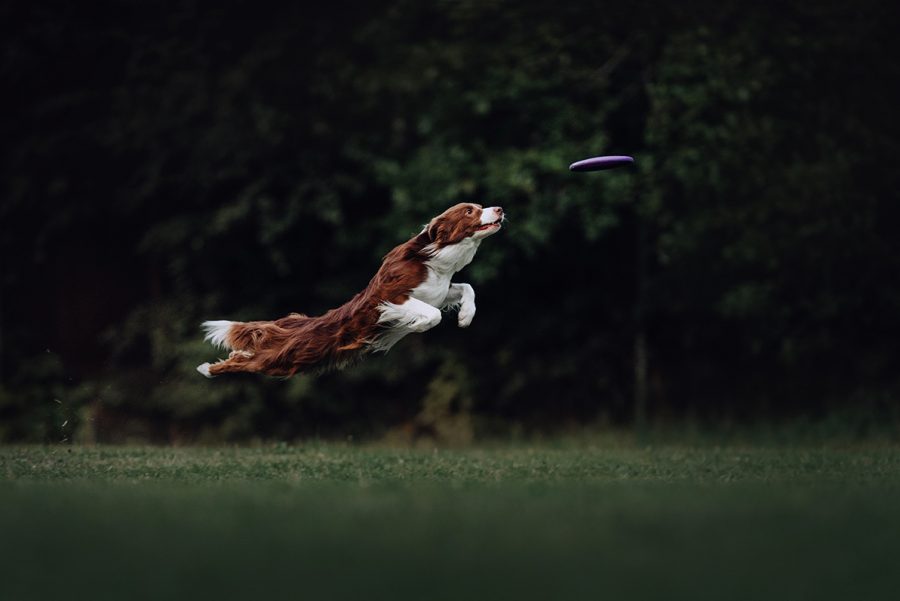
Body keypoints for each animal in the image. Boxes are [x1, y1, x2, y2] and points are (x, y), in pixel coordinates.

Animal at [196, 204, 502, 378]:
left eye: (480, 206)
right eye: (470, 211)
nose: (499, 209)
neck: (434, 259)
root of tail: (292, 324)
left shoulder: (438, 292)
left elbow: (466, 288)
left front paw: (465, 316)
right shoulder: (391, 296)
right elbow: (431, 315)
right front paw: (416, 326)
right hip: (280, 359)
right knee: (245, 360)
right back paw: (207, 369)